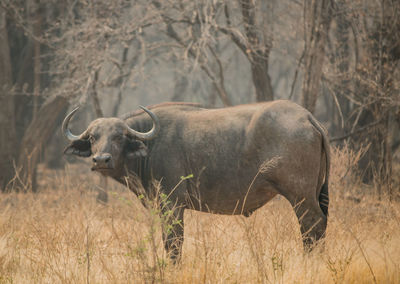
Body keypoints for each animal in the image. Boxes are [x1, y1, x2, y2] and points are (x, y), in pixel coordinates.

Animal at [63, 100, 332, 262]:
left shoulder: (171, 204)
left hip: (300, 195)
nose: (101, 159)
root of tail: (307, 117)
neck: (151, 146)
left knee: (312, 225)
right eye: (93, 137)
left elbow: (173, 242)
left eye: (119, 137)